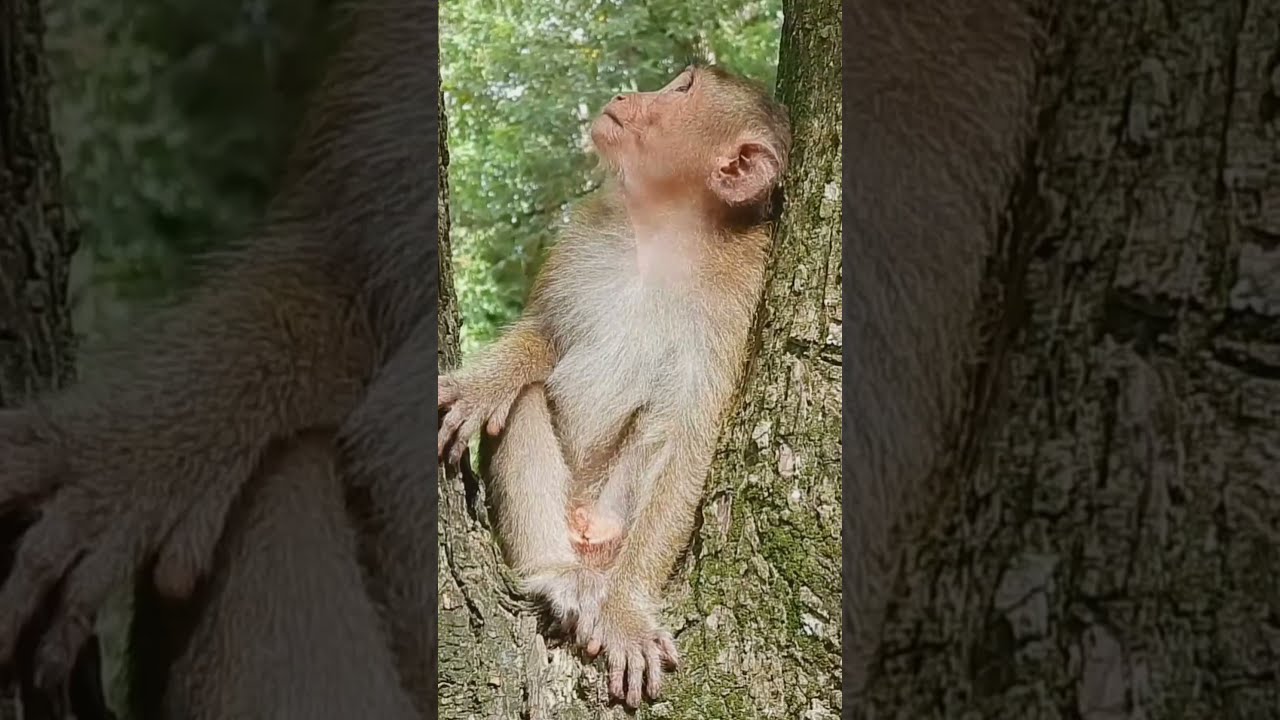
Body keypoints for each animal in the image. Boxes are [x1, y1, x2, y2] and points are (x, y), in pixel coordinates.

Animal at [437, 64, 792, 708]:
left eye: (682, 90)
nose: (632, 94)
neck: (665, 232)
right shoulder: (583, 237)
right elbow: (546, 336)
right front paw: (483, 384)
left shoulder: (739, 297)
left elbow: (687, 437)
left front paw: (627, 613)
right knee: (526, 401)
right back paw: (556, 575)